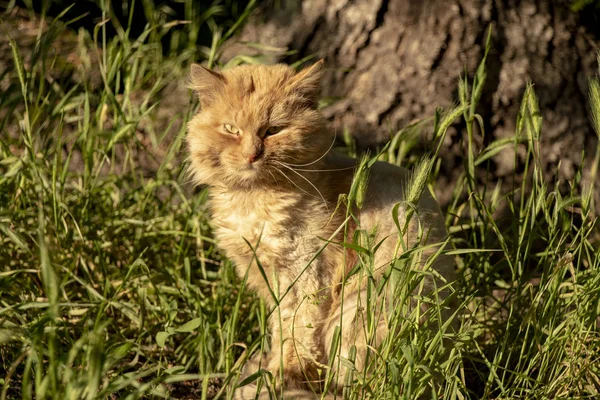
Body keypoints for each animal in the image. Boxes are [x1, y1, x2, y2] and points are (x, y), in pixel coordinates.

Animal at [188, 61, 454, 398]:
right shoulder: (268, 280)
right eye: (231, 129)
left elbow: (298, 336)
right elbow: (281, 331)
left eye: (273, 130)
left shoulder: (306, 276)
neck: (255, 197)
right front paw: (273, 369)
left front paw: (282, 375)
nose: (252, 155)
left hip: (359, 310)